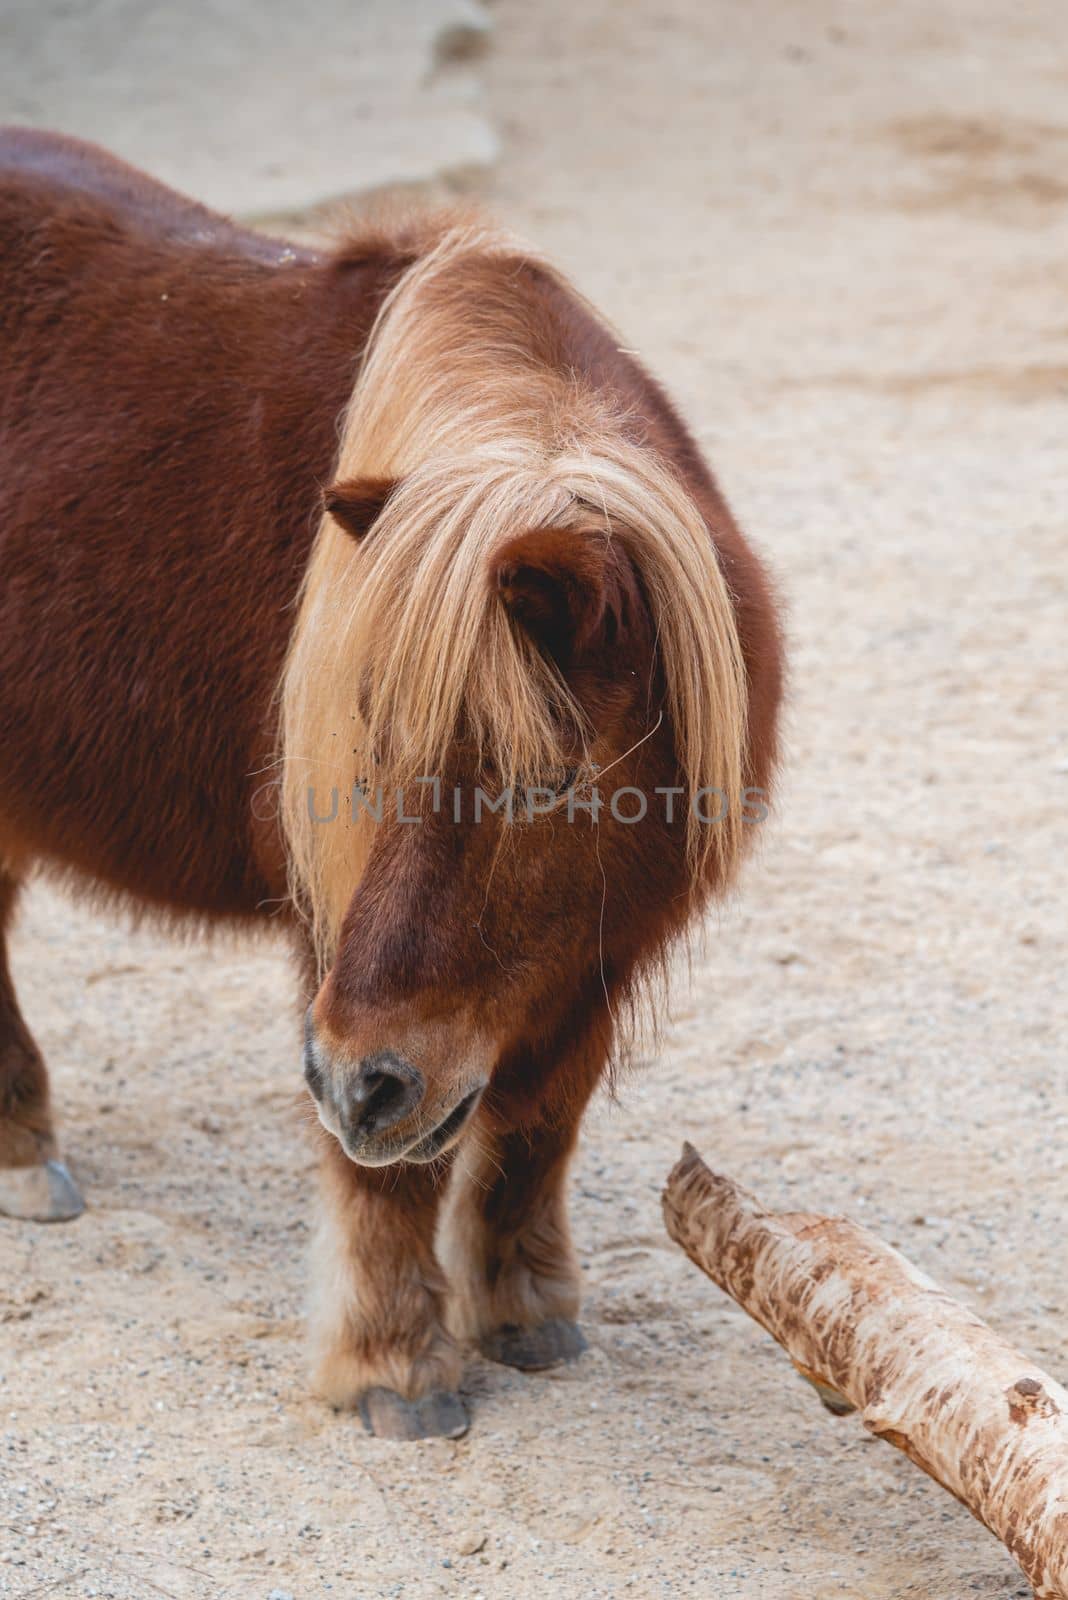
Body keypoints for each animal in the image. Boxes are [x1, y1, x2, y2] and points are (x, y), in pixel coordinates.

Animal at [0, 131, 783, 1446]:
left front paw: (528, 1315)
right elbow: (397, 1172)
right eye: (366, 748)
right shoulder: (343, 957)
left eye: (544, 780)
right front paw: (394, 1371)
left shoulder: (590, 965)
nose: (351, 1083)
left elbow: (536, 1131)